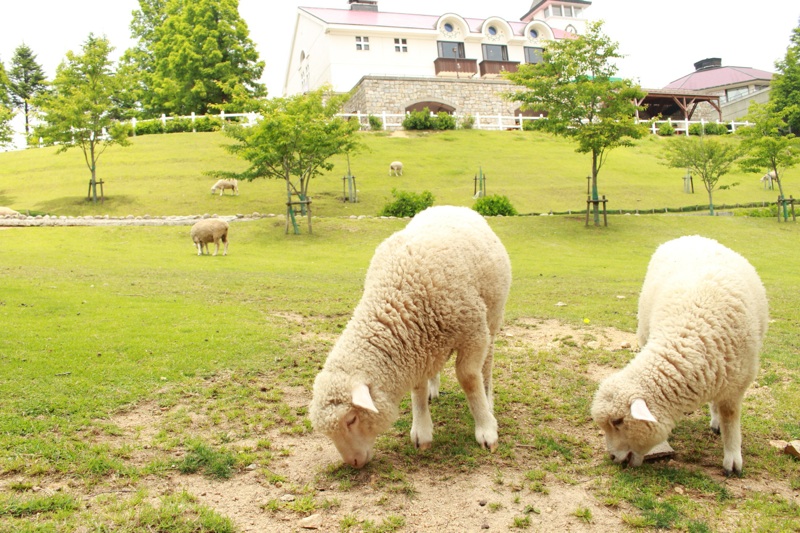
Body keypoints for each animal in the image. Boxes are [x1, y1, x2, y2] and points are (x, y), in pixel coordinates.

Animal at [310, 206, 510, 468]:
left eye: (351, 419)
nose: (353, 463)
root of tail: (450, 206)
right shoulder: (417, 345)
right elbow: (418, 386)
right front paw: (422, 431)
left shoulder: (473, 333)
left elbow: (468, 378)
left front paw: (486, 429)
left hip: (492, 319)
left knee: (486, 366)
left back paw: (488, 398)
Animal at [592, 235, 768, 476]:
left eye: (618, 421)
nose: (611, 457)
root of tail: (691, 236)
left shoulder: (738, 382)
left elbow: (730, 417)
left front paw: (733, 459)